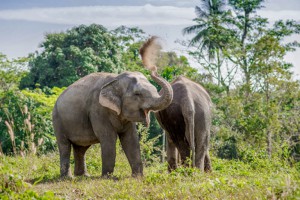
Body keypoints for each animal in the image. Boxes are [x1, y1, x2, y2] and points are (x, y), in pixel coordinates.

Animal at [52, 36, 172, 178]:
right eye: (137, 94)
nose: (153, 67)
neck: (116, 79)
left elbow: (131, 139)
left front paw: (137, 177)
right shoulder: (97, 110)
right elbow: (108, 138)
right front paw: (108, 177)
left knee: (81, 148)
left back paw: (83, 176)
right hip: (58, 120)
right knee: (65, 145)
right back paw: (68, 177)